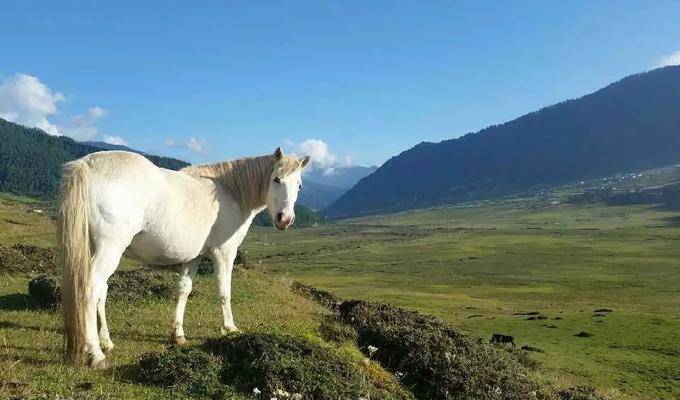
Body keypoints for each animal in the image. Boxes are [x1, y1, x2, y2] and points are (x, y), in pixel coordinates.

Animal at [57, 148, 310, 368]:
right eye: (276, 179)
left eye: (299, 185)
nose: (285, 219)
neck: (229, 192)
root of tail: (88, 165)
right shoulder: (224, 252)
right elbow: (224, 292)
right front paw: (229, 328)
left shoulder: (193, 257)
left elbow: (184, 290)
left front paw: (177, 334)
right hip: (110, 249)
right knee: (90, 289)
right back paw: (96, 354)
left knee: (101, 291)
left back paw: (106, 342)